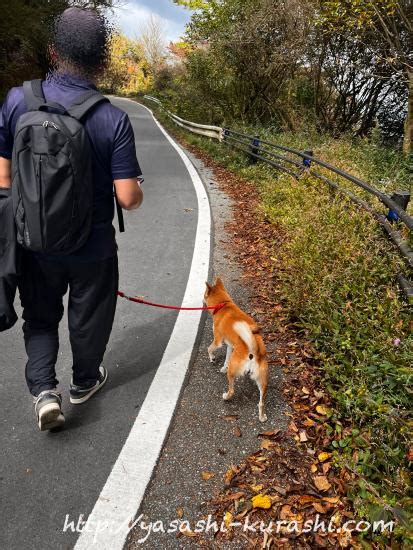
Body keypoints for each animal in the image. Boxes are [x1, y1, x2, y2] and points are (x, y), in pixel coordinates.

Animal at [202, 278, 268, 424]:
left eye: (204, 294)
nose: (202, 300)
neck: (224, 305)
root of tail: (253, 351)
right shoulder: (230, 346)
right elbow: (227, 358)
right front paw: (223, 367)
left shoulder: (218, 341)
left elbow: (209, 349)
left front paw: (212, 358)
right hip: (262, 379)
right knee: (261, 403)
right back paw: (261, 417)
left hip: (233, 373)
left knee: (232, 391)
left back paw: (226, 396)